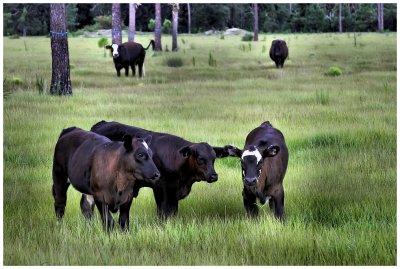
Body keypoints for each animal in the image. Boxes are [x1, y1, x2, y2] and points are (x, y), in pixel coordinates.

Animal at [80, 120, 241, 219]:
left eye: (214, 159)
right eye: (201, 159)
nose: (213, 176)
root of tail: (101, 124)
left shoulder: (174, 193)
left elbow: (173, 212)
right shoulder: (160, 188)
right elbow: (163, 212)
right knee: (87, 205)